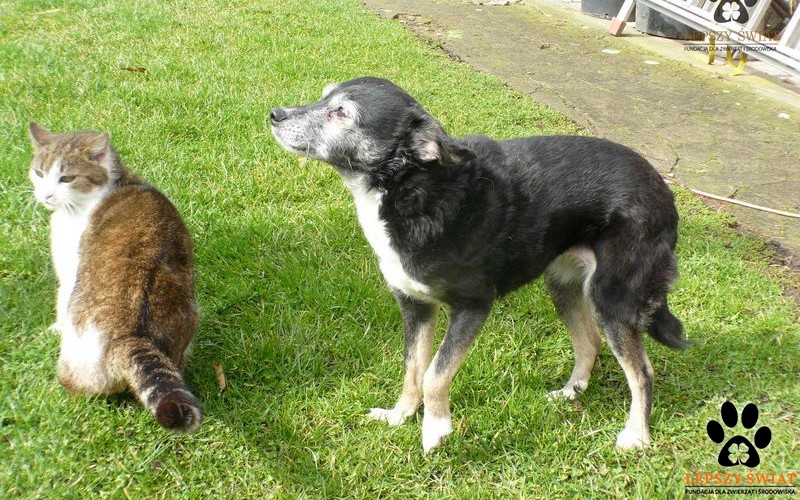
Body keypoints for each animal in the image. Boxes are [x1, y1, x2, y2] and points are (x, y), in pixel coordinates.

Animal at [28, 122, 202, 433]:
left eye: (66, 178)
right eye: (39, 173)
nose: (45, 195)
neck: (114, 182)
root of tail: (130, 336)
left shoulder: (68, 270)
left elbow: (61, 301)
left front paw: (54, 328)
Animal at [270, 77, 688, 452]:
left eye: (341, 112)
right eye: (324, 95)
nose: (274, 114)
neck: (414, 189)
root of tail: (662, 188)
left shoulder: (473, 306)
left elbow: (435, 374)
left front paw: (435, 429)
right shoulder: (415, 307)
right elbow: (412, 370)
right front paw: (400, 416)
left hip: (613, 299)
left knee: (642, 372)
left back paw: (636, 436)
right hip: (564, 285)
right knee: (589, 342)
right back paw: (570, 393)